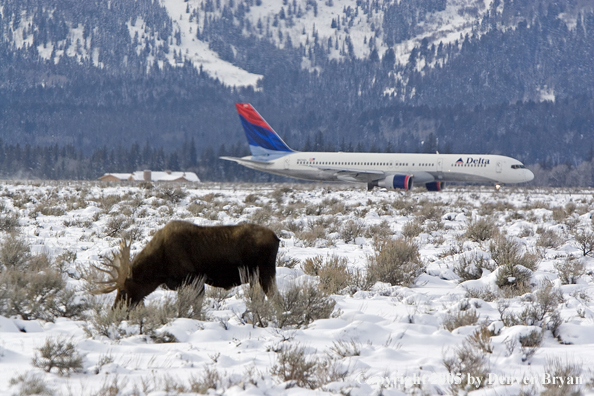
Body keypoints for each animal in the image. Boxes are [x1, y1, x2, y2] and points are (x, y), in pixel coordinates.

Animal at [91, 221, 278, 308]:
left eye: (123, 290)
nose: (115, 310)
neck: (159, 271)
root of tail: (277, 238)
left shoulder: (195, 279)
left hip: (265, 272)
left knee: (275, 297)